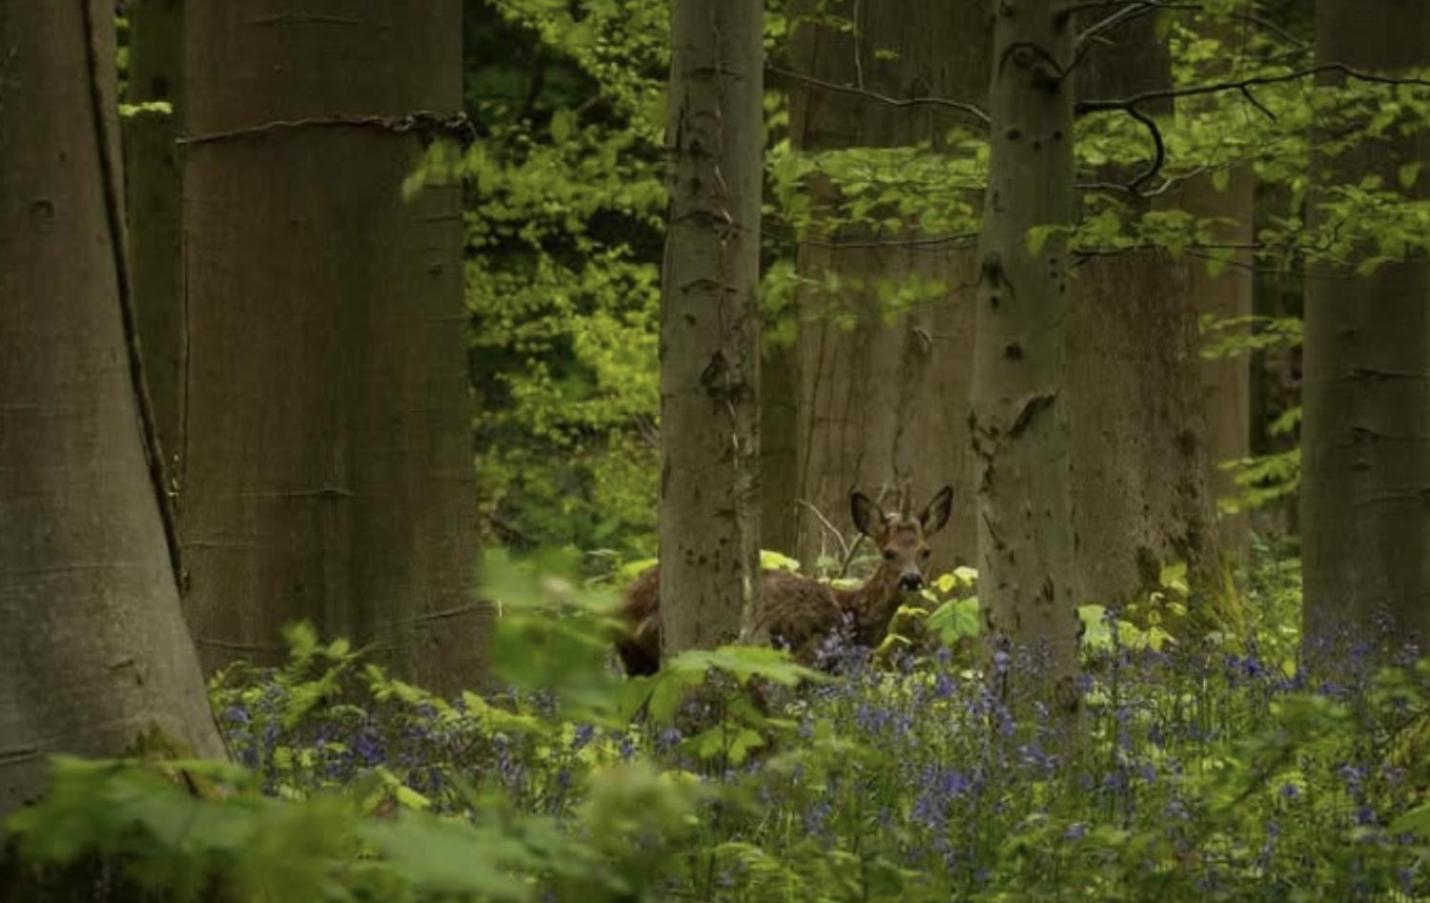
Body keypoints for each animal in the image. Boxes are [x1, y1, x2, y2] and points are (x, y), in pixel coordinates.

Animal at [614, 483, 949, 675]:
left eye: (925, 551)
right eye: (889, 552)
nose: (911, 579)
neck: (853, 616)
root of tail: (622, 607)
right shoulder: (808, 655)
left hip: (636, 662)